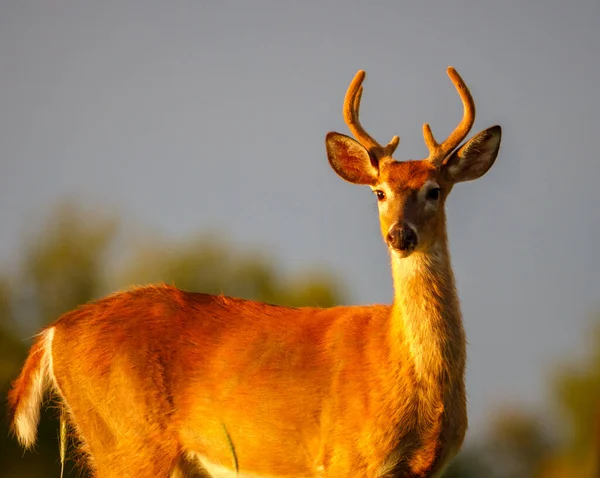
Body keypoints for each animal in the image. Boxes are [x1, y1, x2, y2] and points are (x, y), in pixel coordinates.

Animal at [8, 65, 502, 476]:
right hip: (127, 441)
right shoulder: (348, 457)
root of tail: (53, 332)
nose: (400, 235)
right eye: (379, 192)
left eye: (434, 190)